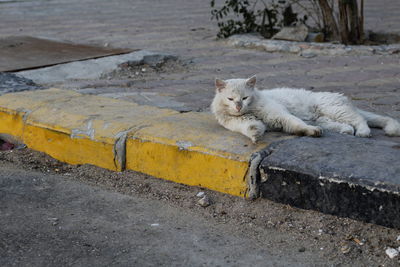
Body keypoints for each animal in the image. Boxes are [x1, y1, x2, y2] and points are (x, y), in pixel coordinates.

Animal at [211, 75, 400, 144]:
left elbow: (297, 124)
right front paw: (255, 137)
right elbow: (252, 128)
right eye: (230, 99)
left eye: (244, 98)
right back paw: (346, 132)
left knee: (361, 120)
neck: (250, 111)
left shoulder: (280, 115)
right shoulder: (242, 123)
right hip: (327, 119)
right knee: (348, 125)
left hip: (336, 110)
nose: (238, 106)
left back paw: (362, 133)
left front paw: (311, 132)